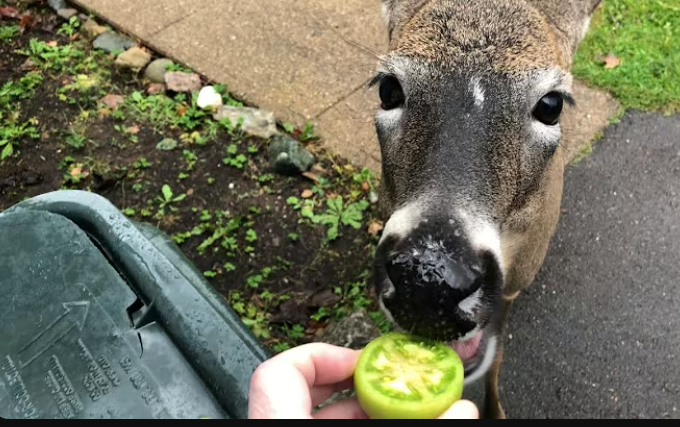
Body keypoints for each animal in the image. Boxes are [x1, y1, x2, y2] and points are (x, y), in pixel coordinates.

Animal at [371, 0, 603, 419]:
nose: (429, 279)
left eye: (551, 104)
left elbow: (496, 353)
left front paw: (495, 409)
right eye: (388, 87)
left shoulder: (516, 282)